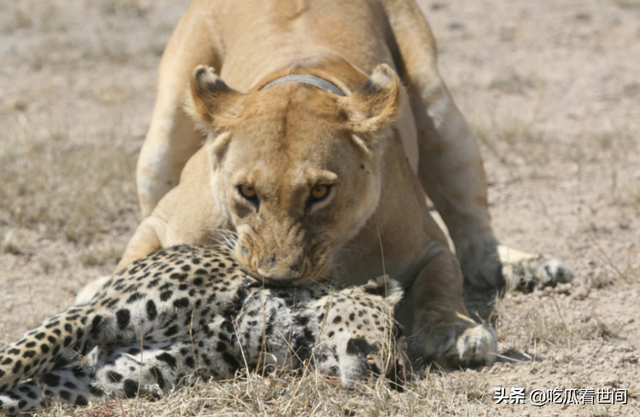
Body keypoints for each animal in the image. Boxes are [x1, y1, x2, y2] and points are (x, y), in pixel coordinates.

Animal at [0, 244, 404, 412]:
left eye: (398, 377)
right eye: (395, 332)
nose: (394, 373)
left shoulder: (105, 380)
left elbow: (22, 393)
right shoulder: (93, 315)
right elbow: (16, 360)